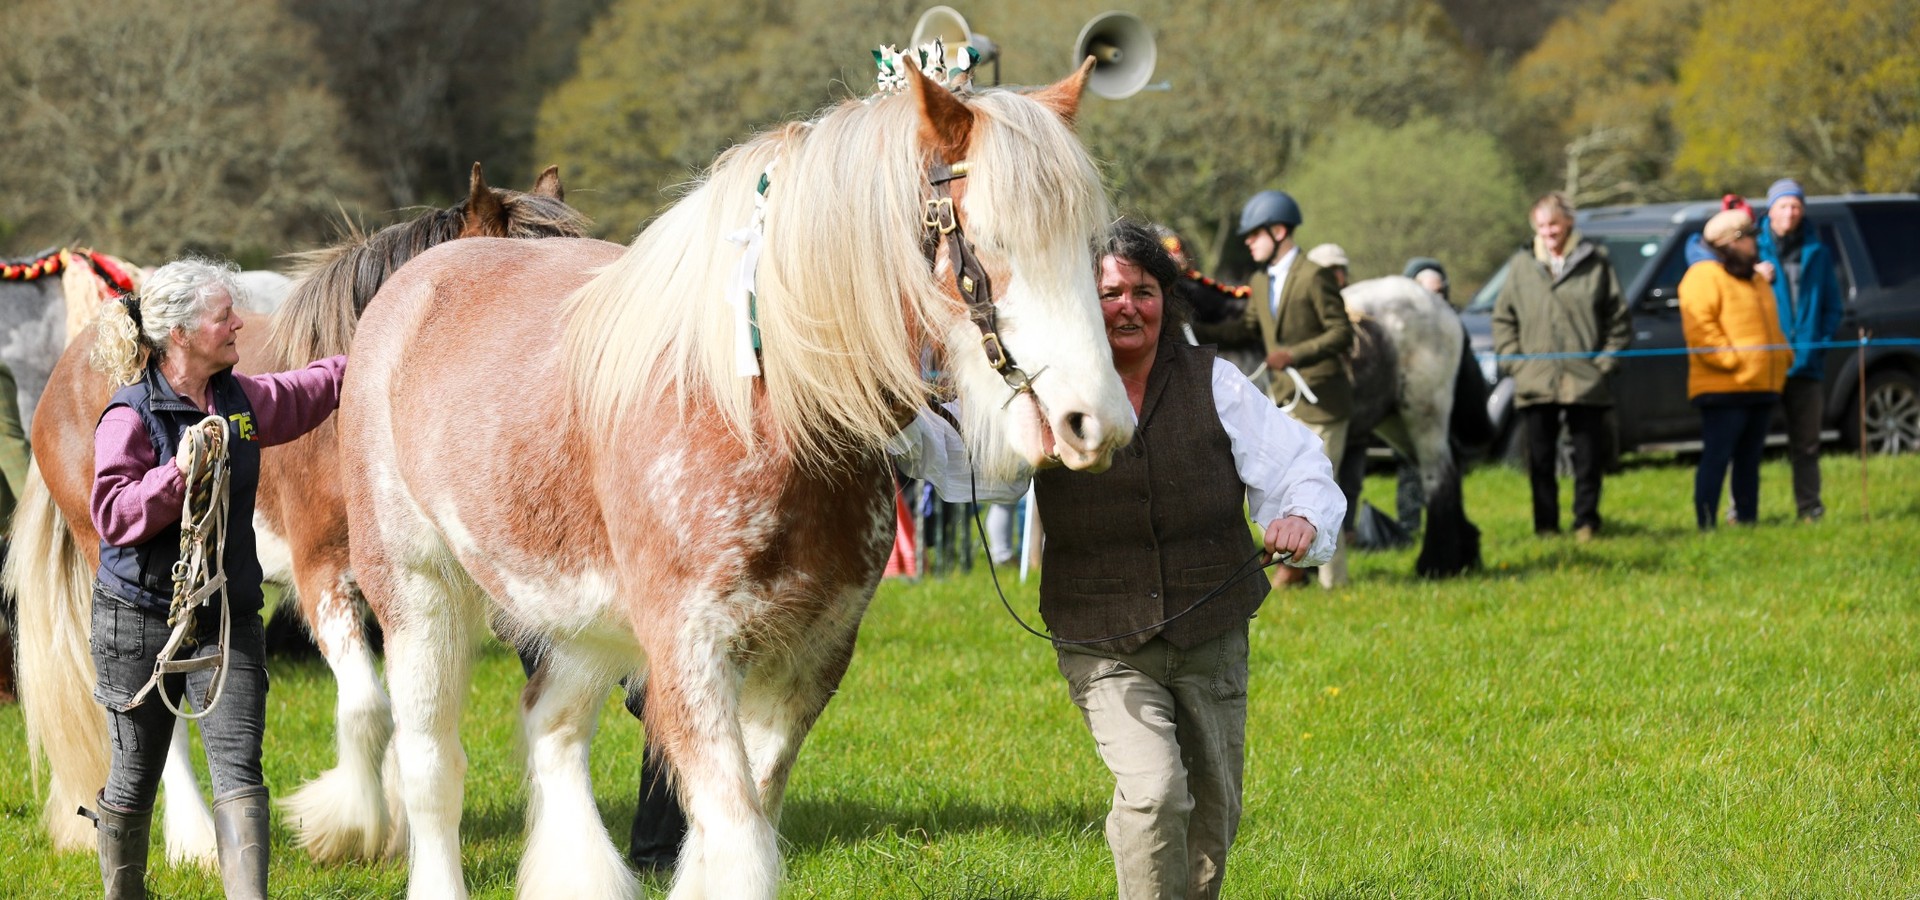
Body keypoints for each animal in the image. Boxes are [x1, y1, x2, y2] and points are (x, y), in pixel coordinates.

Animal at [339, 61, 1128, 900]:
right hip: (417, 590)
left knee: (552, 729)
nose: (1095, 422)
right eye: (988, 242)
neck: (757, 410)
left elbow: (736, 827)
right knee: (431, 767)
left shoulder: (811, 655)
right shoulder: (689, 655)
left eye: (1090, 252)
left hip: (576, 617)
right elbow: (739, 838)